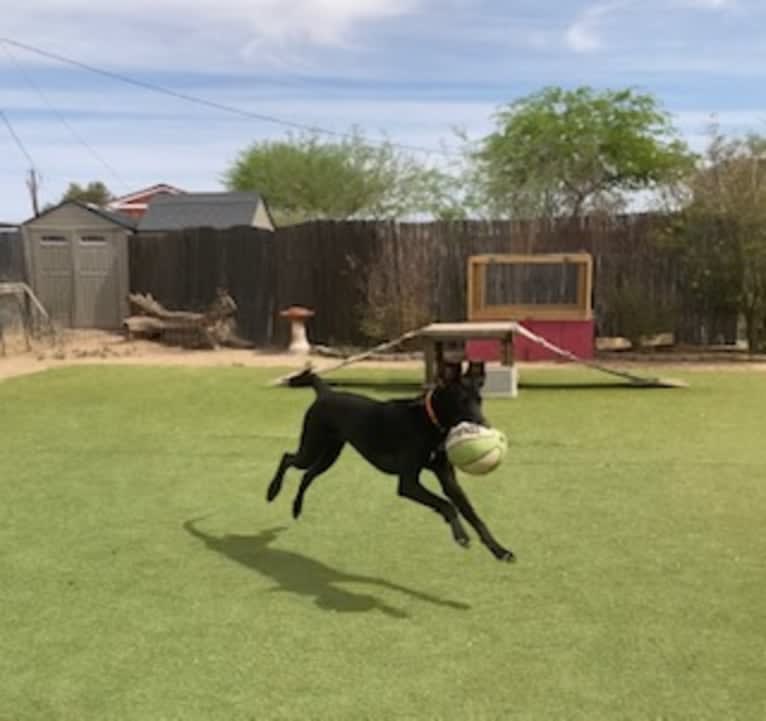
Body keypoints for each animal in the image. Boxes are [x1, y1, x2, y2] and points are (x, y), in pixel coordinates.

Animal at [268, 362, 516, 560]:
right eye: (461, 401)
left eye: (479, 400)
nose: (485, 425)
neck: (429, 422)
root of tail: (325, 392)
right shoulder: (408, 484)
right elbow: (446, 505)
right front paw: (461, 535)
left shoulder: (448, 479)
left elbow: (472, 514)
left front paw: (499, 550)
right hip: (312, 446)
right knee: (288, 458)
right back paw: (272, 491)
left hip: (329, 453)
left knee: (307, 474)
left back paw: (296, 508)